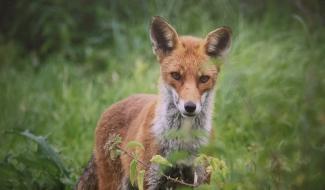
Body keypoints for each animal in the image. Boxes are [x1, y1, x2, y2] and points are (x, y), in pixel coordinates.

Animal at [76, 16, 230, 190]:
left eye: (204, 79)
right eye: (176, 75)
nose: (190, 107)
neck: (181, 141)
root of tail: (115, 104)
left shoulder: (200, 176)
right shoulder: (151, 177)